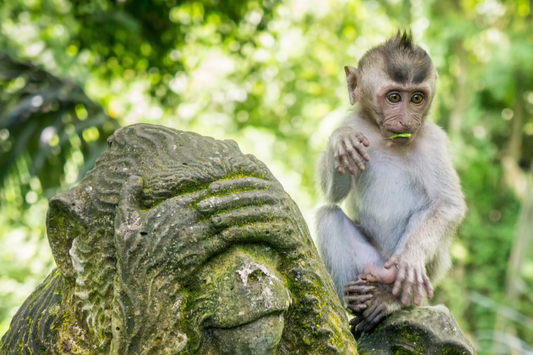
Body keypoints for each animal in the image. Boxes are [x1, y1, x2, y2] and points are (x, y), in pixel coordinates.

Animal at [314, 31, 464, 334]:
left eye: (417, 98)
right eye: (394, 97)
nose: (406, 120)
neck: (387, 139)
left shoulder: (433, 141)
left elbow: (449, 204)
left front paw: (412, 257)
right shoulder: (354, 122)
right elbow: (332, 194)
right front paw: (340, 140)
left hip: (416, 273)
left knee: (426, 213)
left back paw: (393, 299)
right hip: (367, 262)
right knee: (327, 215)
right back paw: (355, 298)